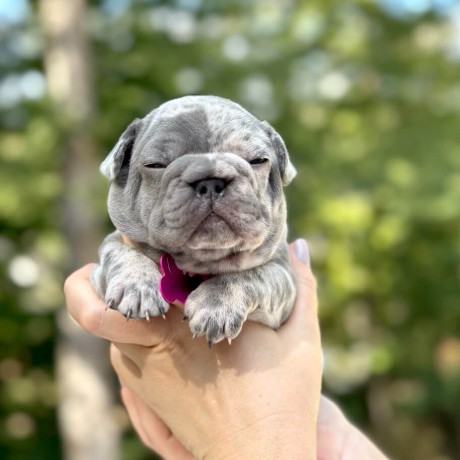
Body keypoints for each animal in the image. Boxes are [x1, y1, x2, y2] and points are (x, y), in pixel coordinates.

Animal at [91, 95, 296, 344]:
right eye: (155, 165)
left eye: (258, 160)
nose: (211, 182)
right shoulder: (103, 262)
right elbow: (118, 251)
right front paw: (137, 284)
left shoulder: (283, 279)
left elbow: (254, 275)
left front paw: (216, 304)